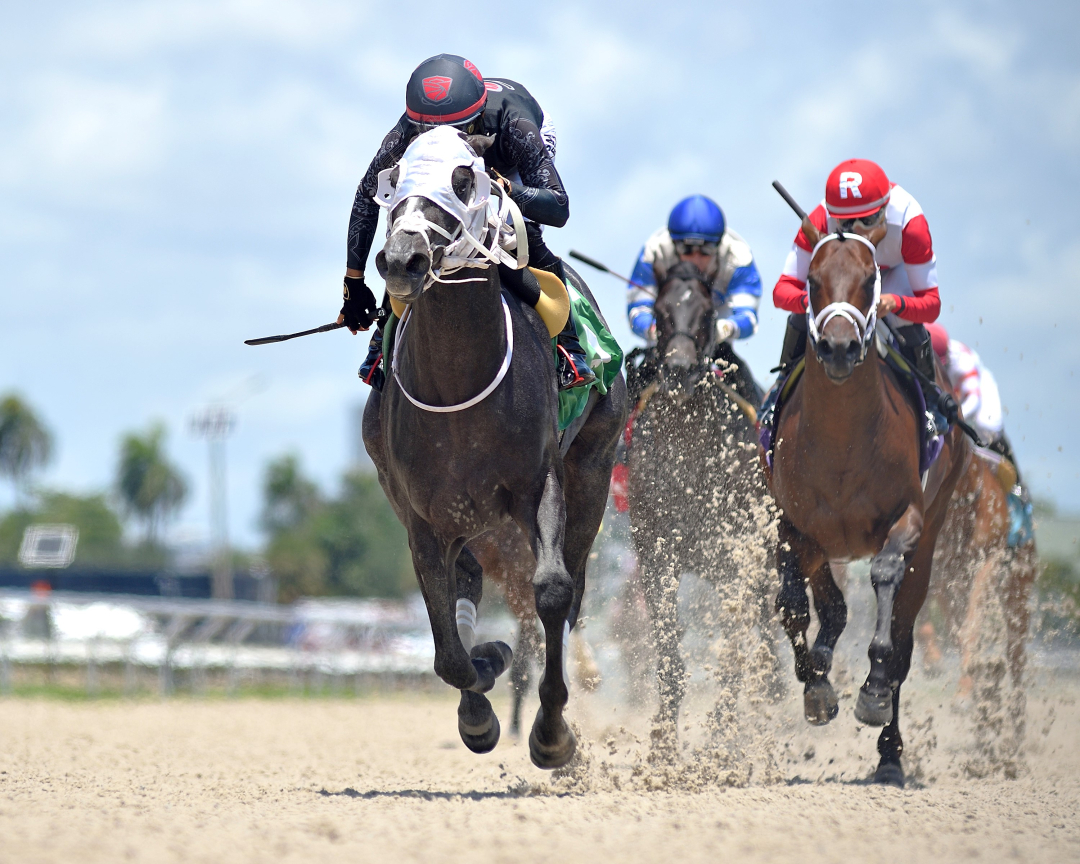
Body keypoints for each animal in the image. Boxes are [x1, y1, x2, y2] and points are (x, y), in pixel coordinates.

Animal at [362, 124, 626, 764]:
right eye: (393, 179)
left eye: (464, 179)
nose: (402, 258)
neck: (460, 377)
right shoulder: (424, 517)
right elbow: (445, 645)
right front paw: (479, 701)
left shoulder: (541, 483)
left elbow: (552, 594)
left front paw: (552, 733)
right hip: (466, 518)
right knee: (465, 592)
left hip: (591, 473)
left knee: (572, 590)